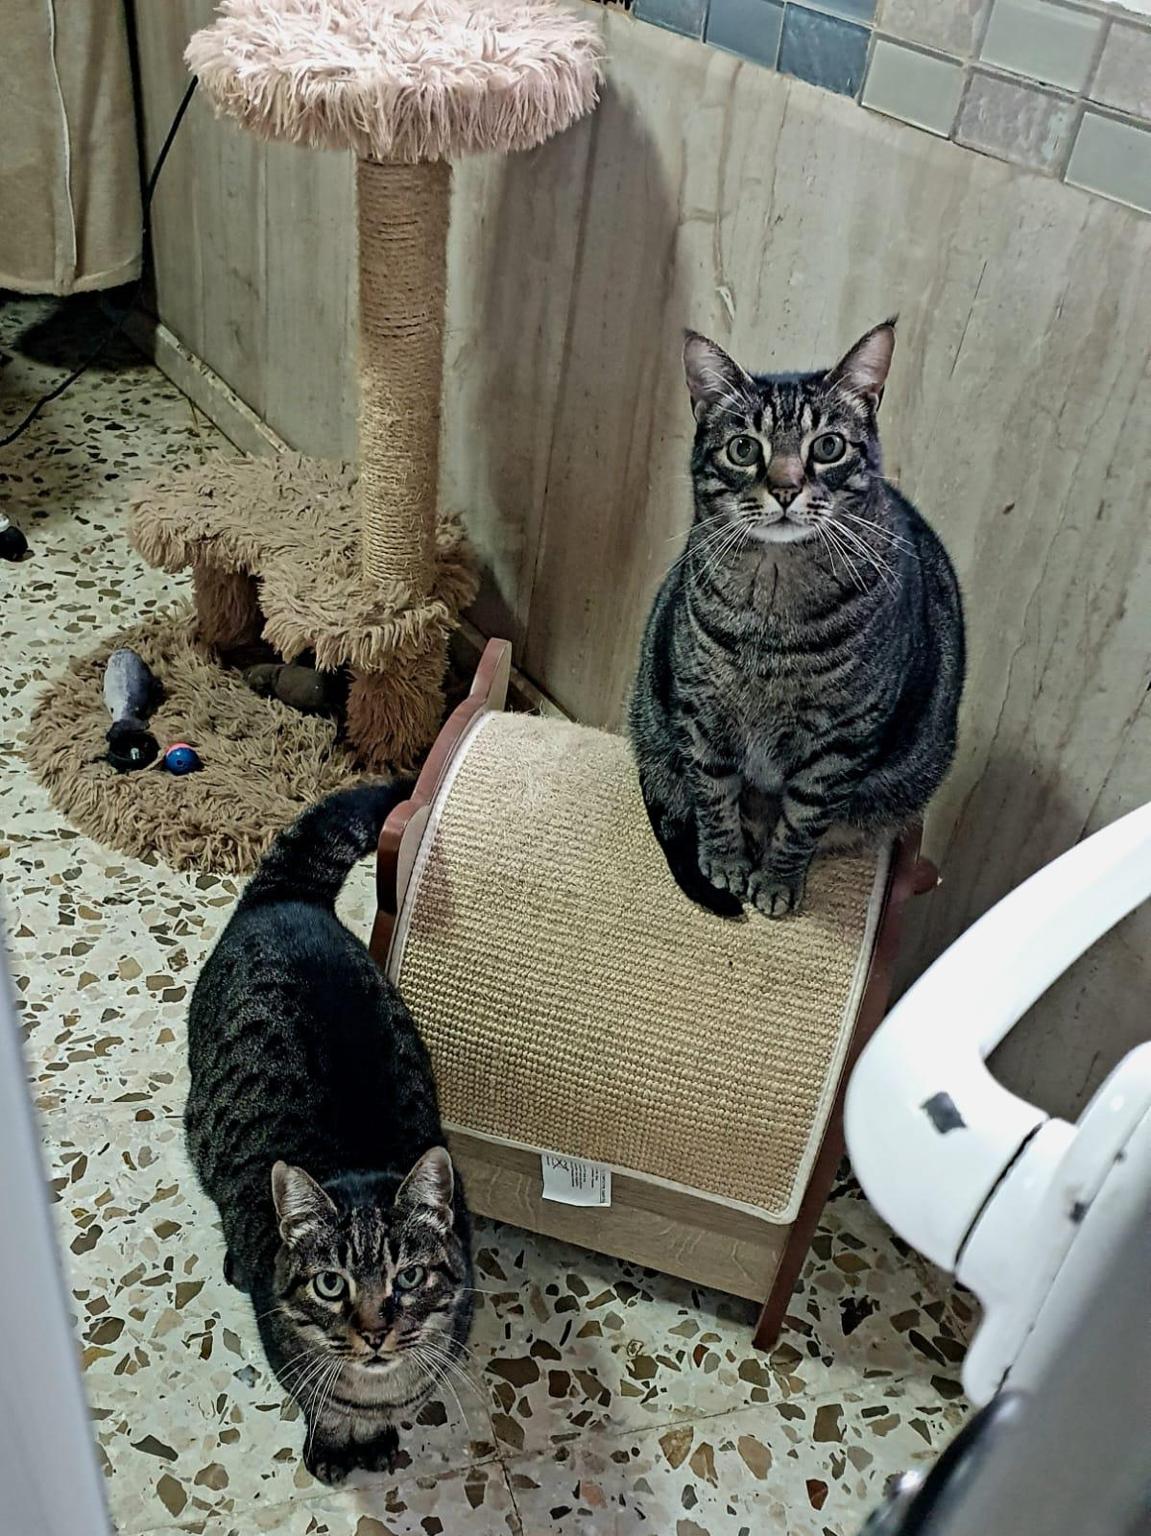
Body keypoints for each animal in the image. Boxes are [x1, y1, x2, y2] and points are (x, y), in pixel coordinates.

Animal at [184, 783, 474, 1485]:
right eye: (330, 1285)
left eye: (408, 1278)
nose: (373, 1332)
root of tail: (288, 898)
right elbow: (320, 1403)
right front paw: (335, 1445)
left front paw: (378, 1437)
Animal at [630, 321, 965, 919]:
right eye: (744, 448)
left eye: (828, 446)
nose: (785, 488)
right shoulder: (701, 714)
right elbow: (713, 794)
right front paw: (725, 861)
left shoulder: (840, 743)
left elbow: (803, 819)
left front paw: (777, 880)